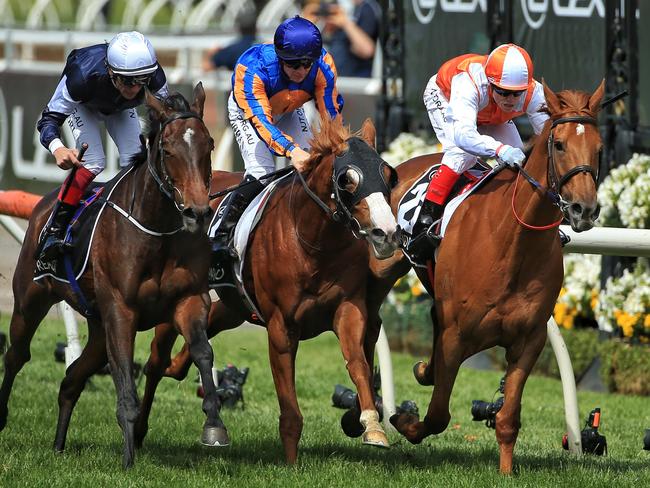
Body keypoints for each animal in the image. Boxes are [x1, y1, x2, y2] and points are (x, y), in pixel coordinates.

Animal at [0, 84, 228, 468]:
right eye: (167, 149)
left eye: (209, 144)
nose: (197, 212)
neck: (157, 229)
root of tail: (44, 204)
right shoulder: (121, 310)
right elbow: (126, 386)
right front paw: (128, 461)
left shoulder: (189, 301)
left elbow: (203, 352)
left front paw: (214, 424)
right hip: (30, 300)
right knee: (16, 355)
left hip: (96, 327)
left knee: (71, 380)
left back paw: (59, 444)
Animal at [135, 117, 400, 462]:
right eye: (347, 179)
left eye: (388, 175)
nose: (388, 234)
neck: (312, 242)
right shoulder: (281, 326)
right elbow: (290, 408)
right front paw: (291, 463)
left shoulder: (349, 309)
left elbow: (358, 364)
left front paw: (372, 425)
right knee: (154, 364)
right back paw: (138, 428)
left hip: (230, 309)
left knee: (186, 351)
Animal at [364, 82, 604, 474]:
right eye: (559, 144)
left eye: (599, 148)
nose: (584, 208)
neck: (512, 243)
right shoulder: (456, 335)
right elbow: (437, 415)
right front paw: (402, 420)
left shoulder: (529, 340)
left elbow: (507, 417)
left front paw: (506, 471)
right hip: (380, 266)